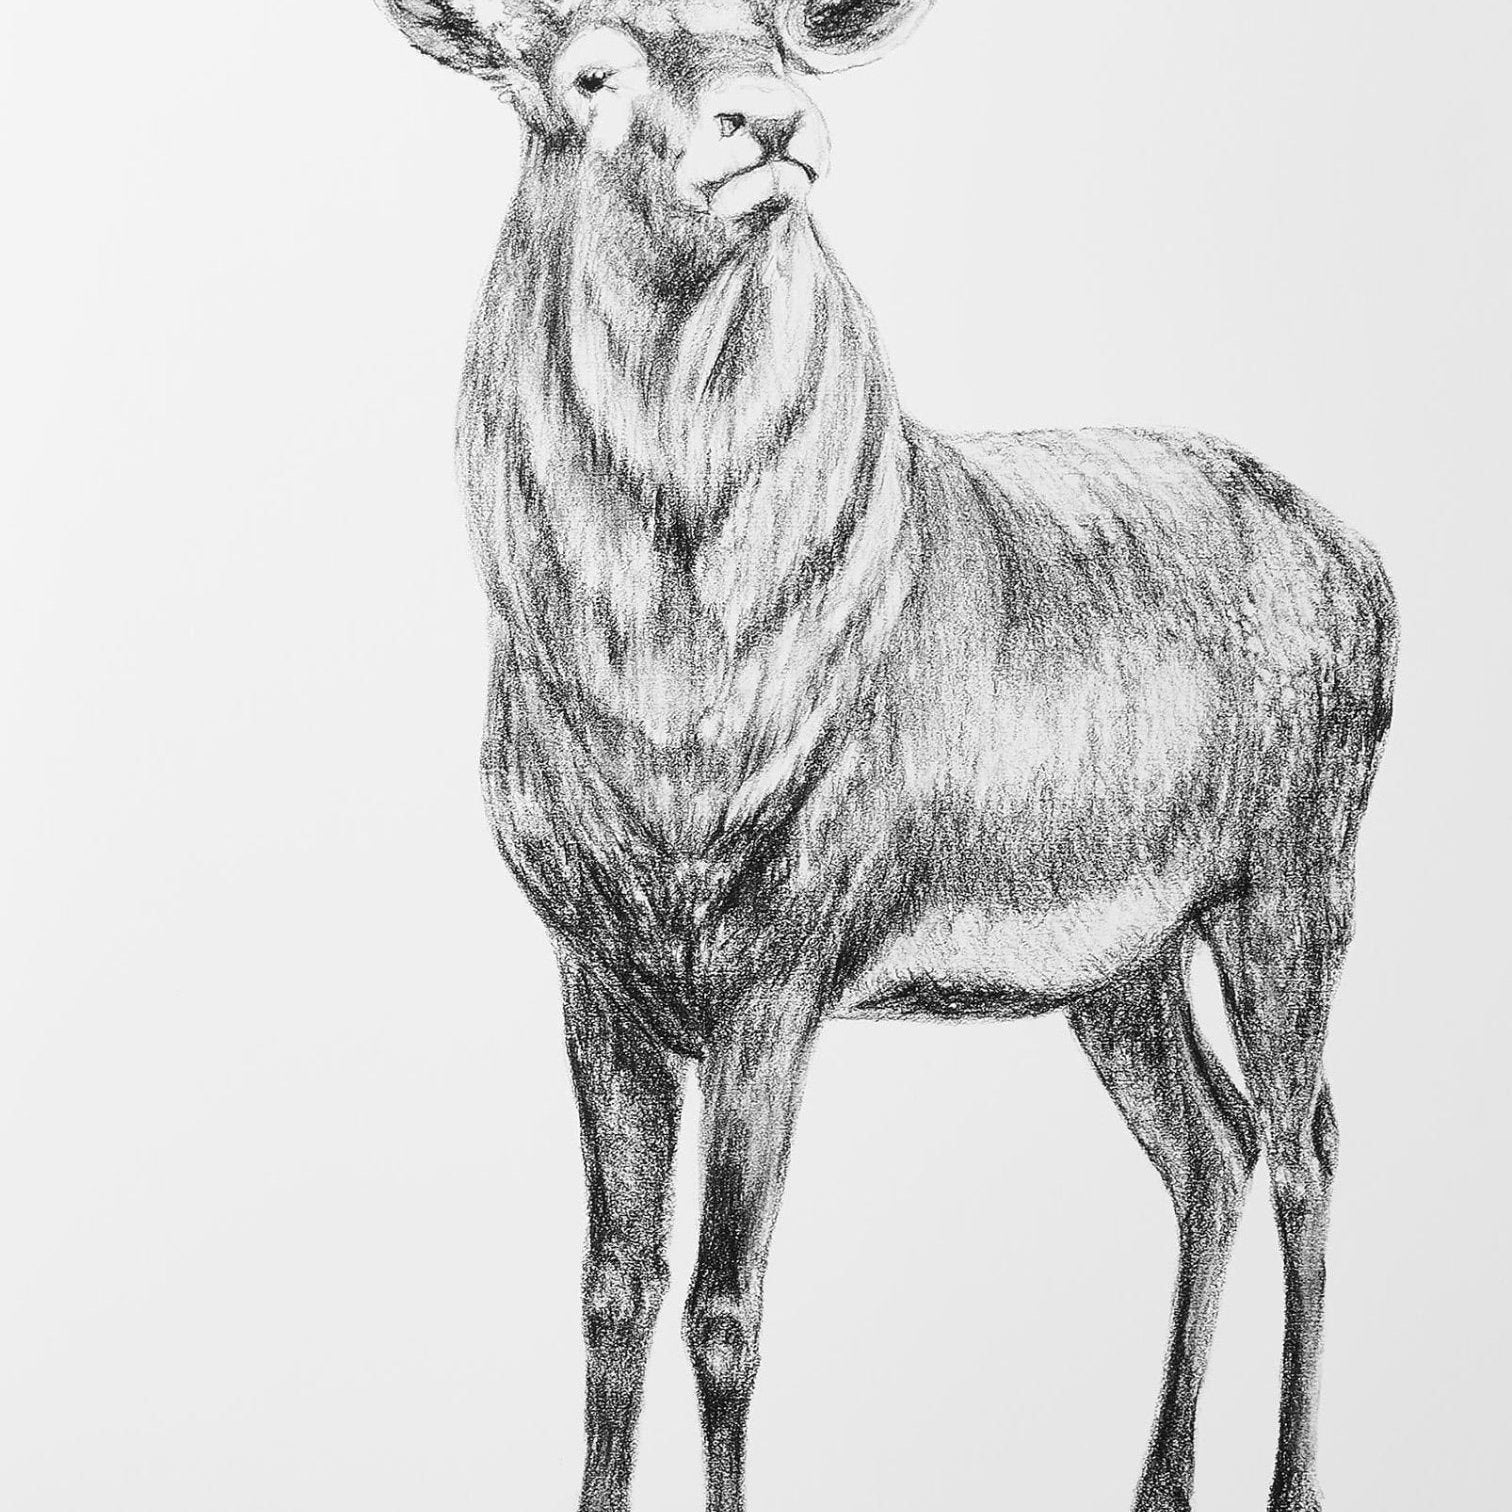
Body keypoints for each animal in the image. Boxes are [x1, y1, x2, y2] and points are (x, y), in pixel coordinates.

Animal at [373, 3, 1397, 1509]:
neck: (668, 722)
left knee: (1307, 1148)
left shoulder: (780, 967)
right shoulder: (592, 969)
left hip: (1294, 883)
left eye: (782, 45)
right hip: (1125, 961)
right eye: (588, 71)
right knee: (1210, 1146)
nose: (767, 119)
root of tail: (1372, 573)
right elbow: (613, 1285)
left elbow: (726, 1311)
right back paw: (1156, 1484)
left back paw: (1292, 1488)